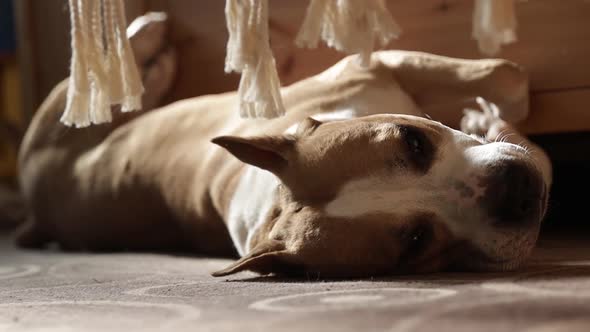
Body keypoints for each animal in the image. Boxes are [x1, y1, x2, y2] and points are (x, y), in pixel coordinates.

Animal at [18, 13, 556, 278]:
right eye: (416, 242)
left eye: (414, 142)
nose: (516, 191)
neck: (274, 202)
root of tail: (35, 210)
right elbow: (519, 95)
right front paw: (494, 121)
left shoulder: (374, 64)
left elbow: (508, 75)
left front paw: (485, 116)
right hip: (57, 121)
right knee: (89, 83)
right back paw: (147, 41)